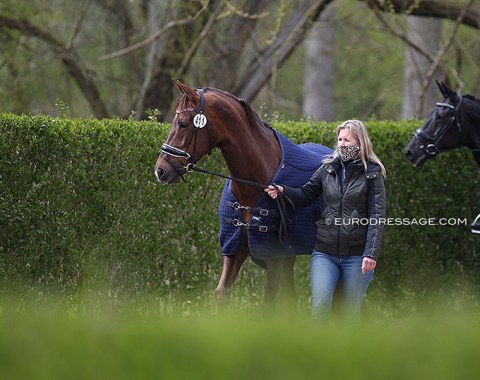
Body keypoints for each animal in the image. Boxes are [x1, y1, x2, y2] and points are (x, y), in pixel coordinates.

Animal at [156, 79, 332, 306]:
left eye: (184, 124)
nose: (161, 170)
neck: (255, 183)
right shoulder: (234, 251)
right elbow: (221, 293)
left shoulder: (273, 256)